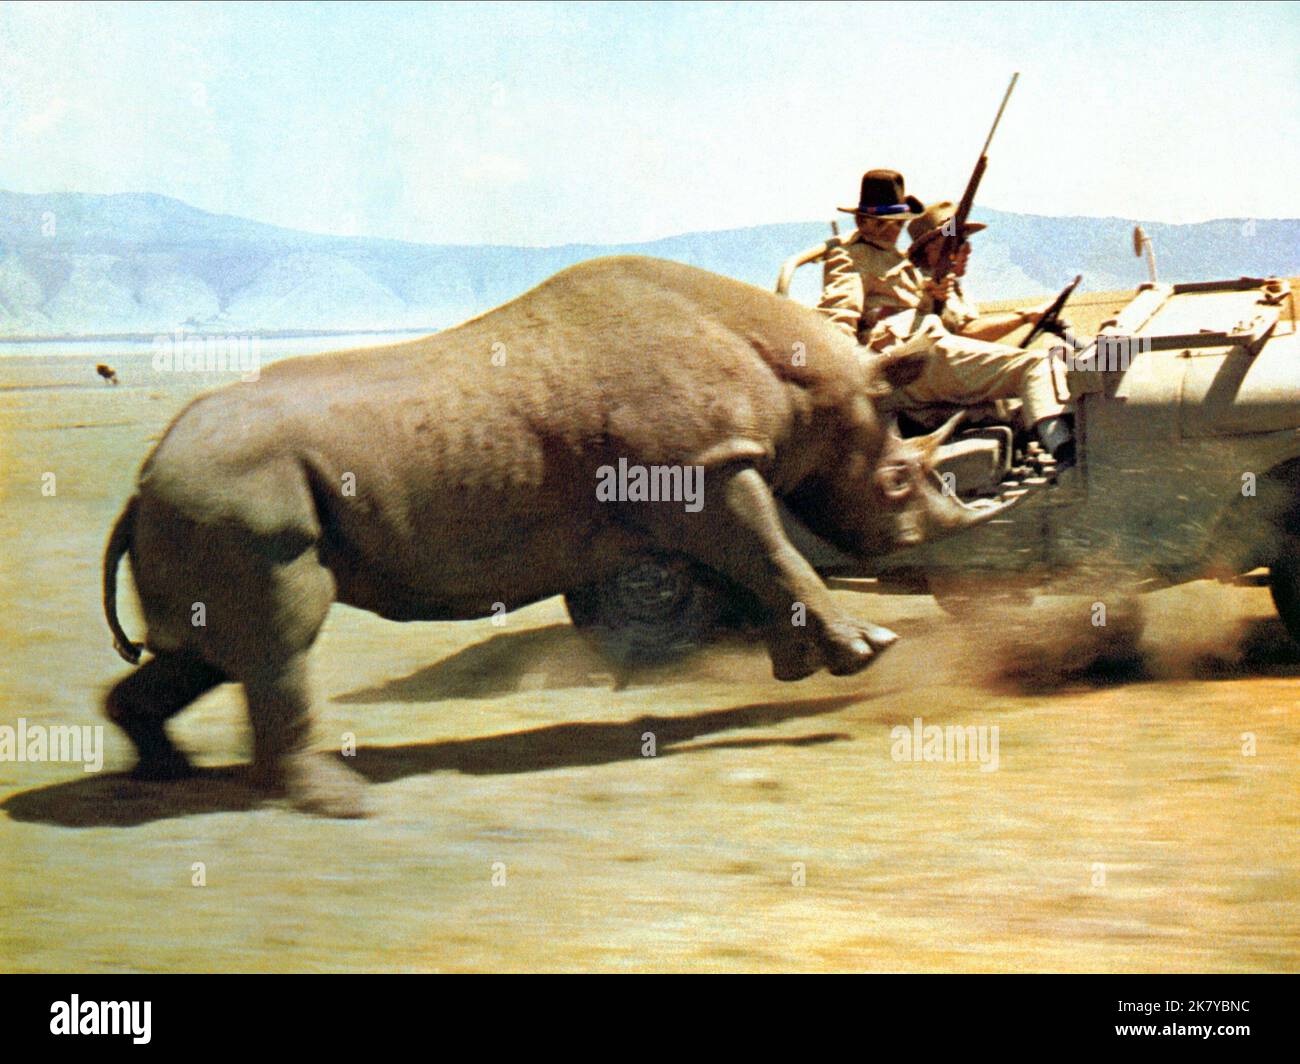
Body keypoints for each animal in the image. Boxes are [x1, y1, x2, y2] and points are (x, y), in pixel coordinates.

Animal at [102, 255, 1000, 816]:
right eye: (898, 479)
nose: (946, 533)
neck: (808, 378)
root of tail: (144, 475)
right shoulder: (706, 468)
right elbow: (773, 553)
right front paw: (868, 650)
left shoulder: (706, 477)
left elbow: (756, 566)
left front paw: (797, 667)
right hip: (238, 493)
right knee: (277, 639)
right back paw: (336, 803)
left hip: (206, 497)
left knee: (208, 649)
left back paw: (164, 774)